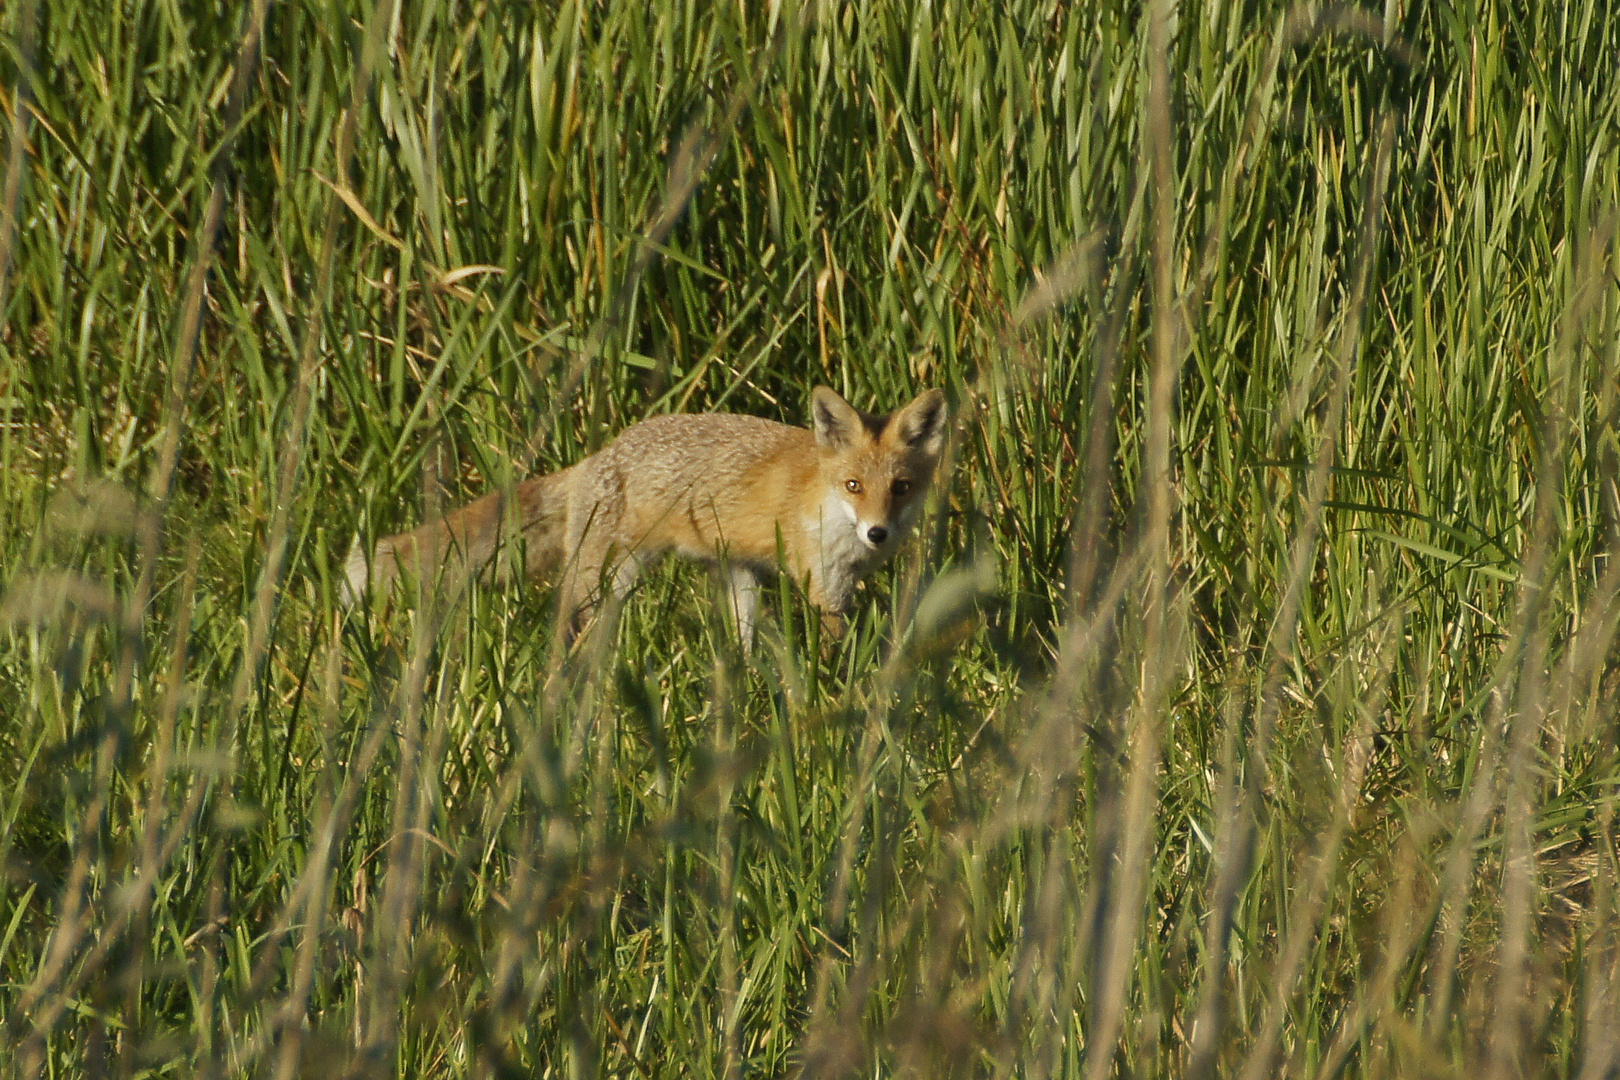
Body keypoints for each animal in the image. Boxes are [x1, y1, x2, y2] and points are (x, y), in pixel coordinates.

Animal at [345, 386, 946, 647]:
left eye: (900, 488)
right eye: (854, 486)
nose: (877, 532)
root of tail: (596, 457)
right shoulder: (821, 584)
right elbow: (836, 646)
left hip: (735, 577)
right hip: (606, 578)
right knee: (567, 618)